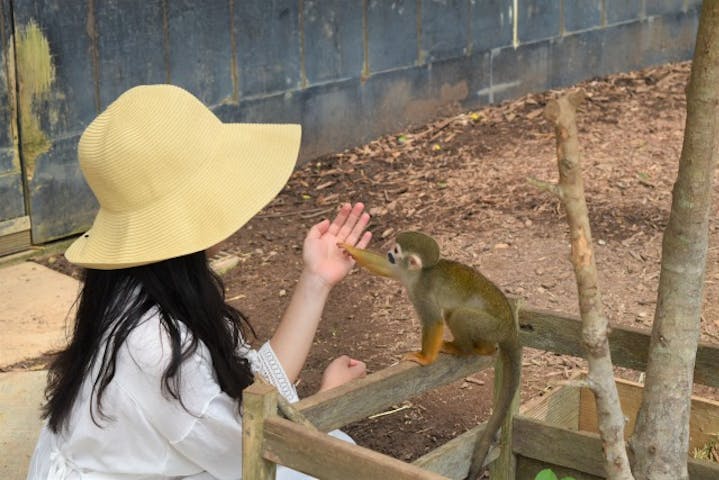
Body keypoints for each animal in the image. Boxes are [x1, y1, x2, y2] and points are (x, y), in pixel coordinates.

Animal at [340, 232, 520, 476]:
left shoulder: (422, 292)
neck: (417, 275)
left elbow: (434, 321)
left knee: (458, 315)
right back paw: (486, 348)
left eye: (396, 251)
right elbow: (386, 269)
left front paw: (424, 358)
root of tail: (510, 326)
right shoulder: (402, 273)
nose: (388, 252)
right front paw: (348, 248)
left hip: (492, 326)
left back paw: (468, 349)